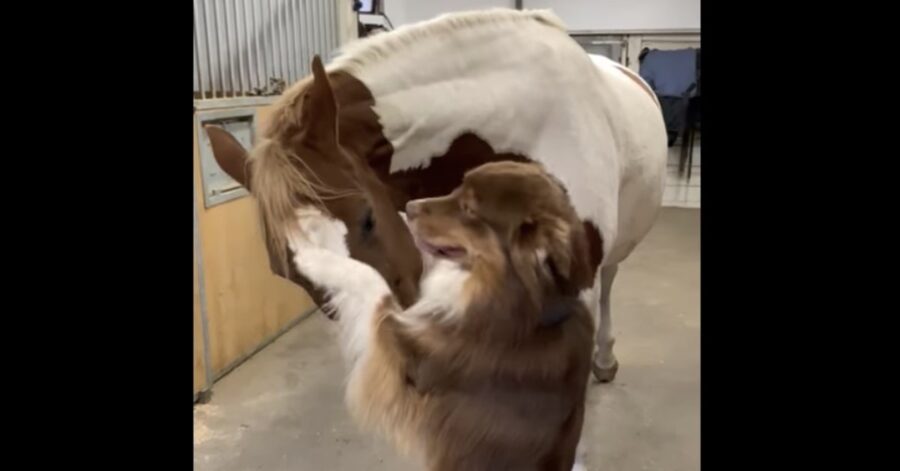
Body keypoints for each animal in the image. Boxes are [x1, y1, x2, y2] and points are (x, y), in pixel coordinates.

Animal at [288, 160, 596, 470]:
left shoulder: (411, 358)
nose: (409, 207)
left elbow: (370, 278)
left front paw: (313, 255)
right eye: (457, 187)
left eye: (469, 209)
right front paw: (315, 224)